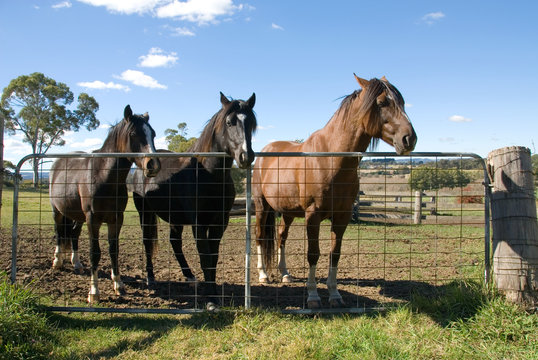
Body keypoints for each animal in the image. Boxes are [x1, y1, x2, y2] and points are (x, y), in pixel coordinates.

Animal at [48, 105, 159, 302]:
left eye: (152, 134)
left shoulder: (116, 219)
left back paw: (76, 263)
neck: (103, 176)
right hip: (57, 212)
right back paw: (57, 261)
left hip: (78, 217)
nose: (152, 164)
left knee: (73, 234)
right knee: (60, 234)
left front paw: (119, 285)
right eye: (133, 133)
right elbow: (95, 253)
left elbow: (113, 250)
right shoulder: (93, 220)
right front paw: (94, 292)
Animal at [130, 92, 255, 310]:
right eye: (229, 122)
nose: (246, 156)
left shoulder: (220, 222)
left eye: (252, 123)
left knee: (175, 242)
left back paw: (189, 276)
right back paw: (150, 278)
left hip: (175, 218)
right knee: (147, 242)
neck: (208, 174)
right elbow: (205, 257)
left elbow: (213, 257)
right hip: (144, 212)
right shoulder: (199, 224)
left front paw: (213, 293)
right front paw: (211, 300)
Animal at [251, 74, 414, 308]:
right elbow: (313, 254)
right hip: (261, 206)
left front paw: (335, 294)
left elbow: (334, 253)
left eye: (402, 102)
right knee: (259, 236)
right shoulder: (312, 215)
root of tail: (265, 152)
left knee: (282, 237)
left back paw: (285, 273)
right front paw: (313, 296)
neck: (331, 159)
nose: (409, 138)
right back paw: (263, 275)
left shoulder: (342, 216)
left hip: (288, 211)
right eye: (382, 102)